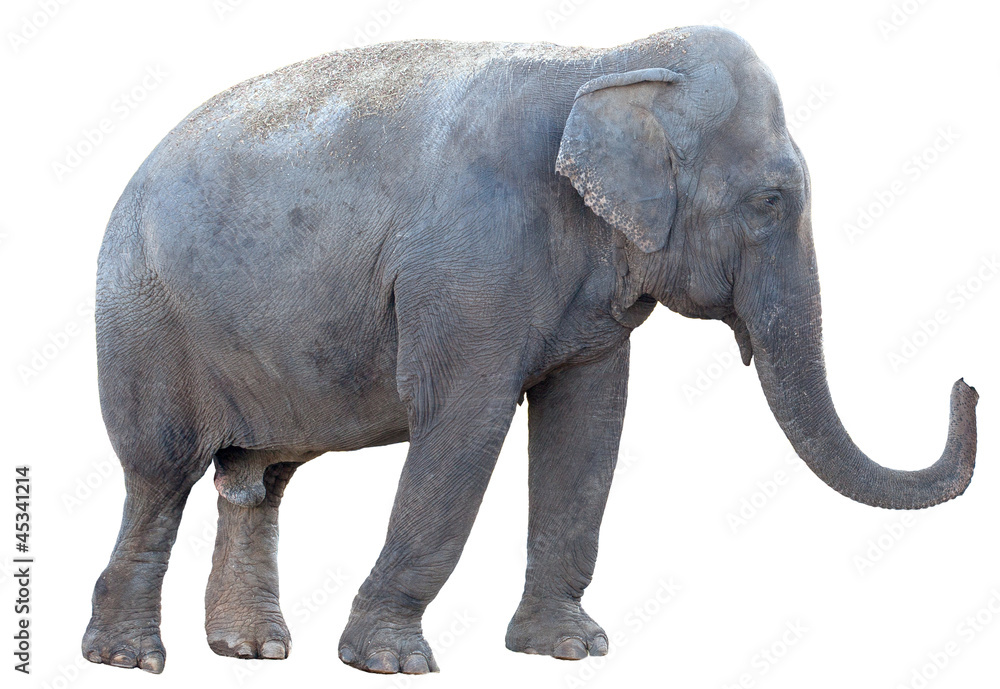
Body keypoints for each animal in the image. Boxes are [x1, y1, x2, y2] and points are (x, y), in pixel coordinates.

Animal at [83, 25, 979, 675]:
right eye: (769, 201)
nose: (968, 385)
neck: (611, 61)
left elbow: (589, 425)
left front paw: (570, 649)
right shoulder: (470, 263)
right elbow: (466, 421)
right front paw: (392, 662)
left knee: (256, 482)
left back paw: (254, 649)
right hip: (144, 321)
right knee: (160, 474)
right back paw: (130, 657)